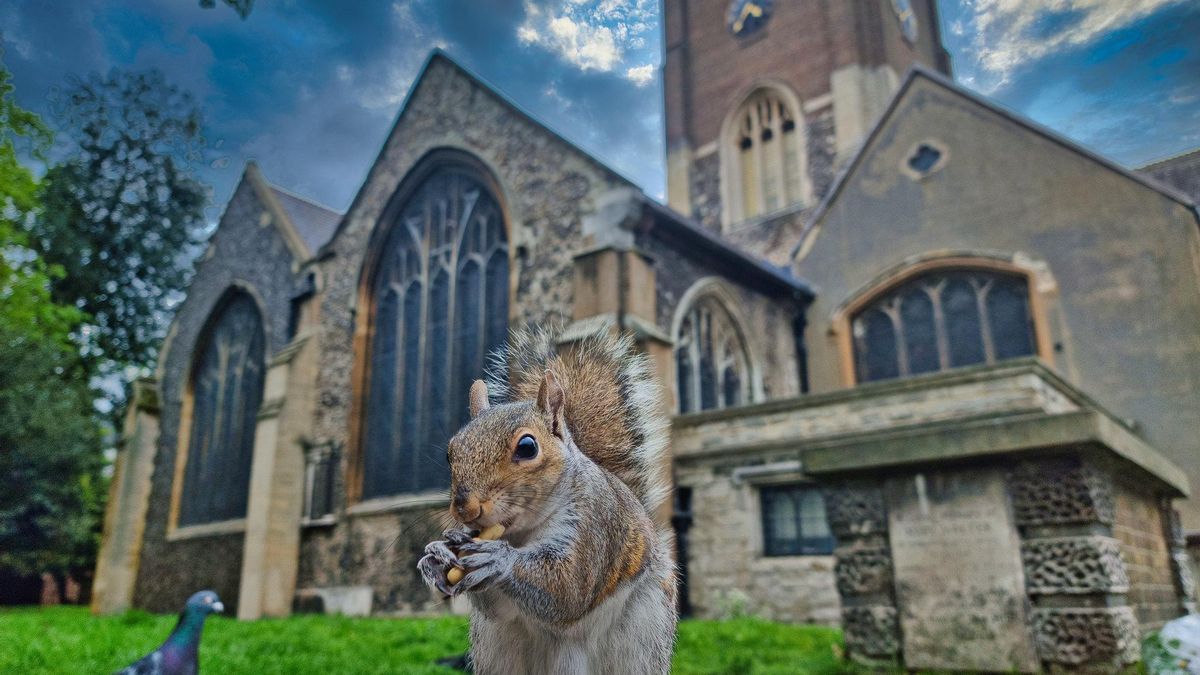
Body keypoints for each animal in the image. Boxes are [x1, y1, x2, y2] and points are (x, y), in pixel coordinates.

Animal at [417, 324, 676, 667]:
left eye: (528, 447)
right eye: (450, 452)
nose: (465, 508)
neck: (522, 532)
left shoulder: (595, 526)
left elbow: (569, 589)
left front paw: (499, 559)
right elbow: (500, 608)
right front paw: (437, 557)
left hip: (641, 638)